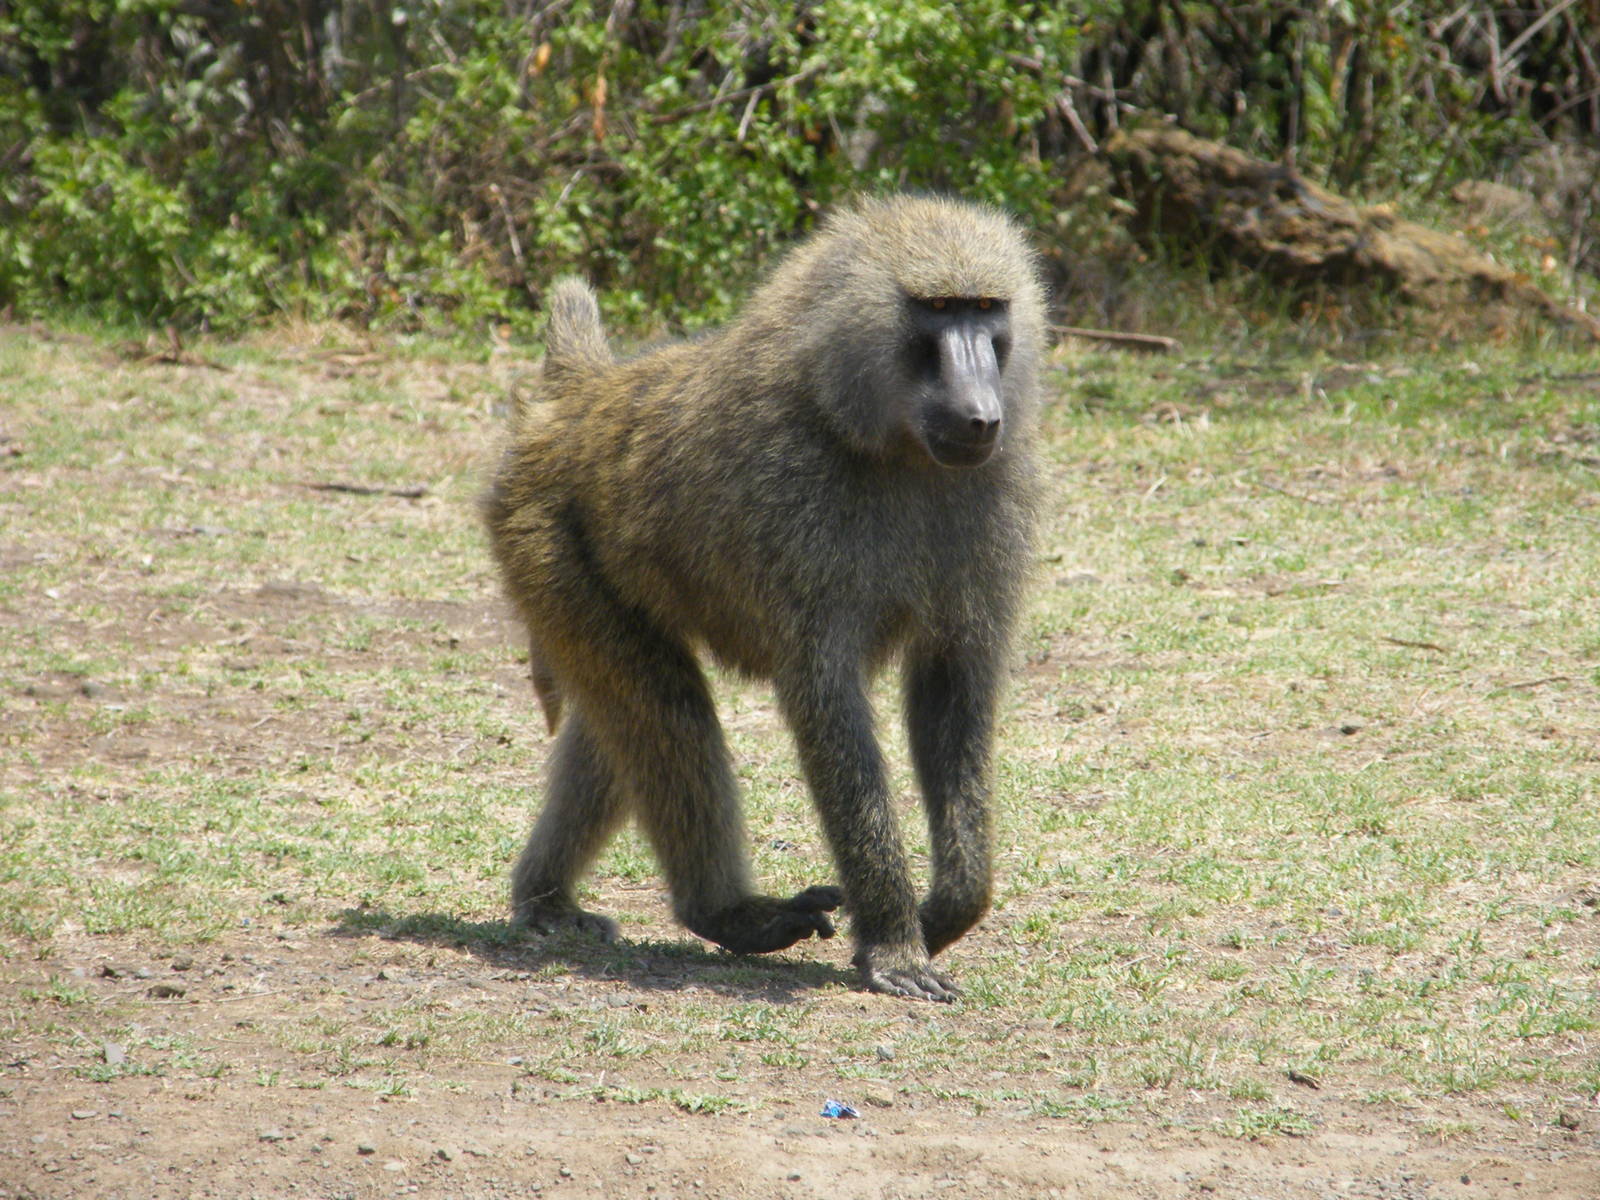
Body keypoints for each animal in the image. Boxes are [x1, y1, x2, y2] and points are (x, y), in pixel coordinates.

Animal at [480, 195, 1044, 1001]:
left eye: (985, 309)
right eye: (936, 310)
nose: (980, 416)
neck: (888, 442)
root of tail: (579, 396)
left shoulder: (994, 496)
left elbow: (952, 687)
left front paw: (944, 910)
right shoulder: (795, 506)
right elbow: (826, 702)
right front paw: (896, 942)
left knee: (616, 720)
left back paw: (547, 900)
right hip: (543, 543)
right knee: (664, 709)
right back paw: (726, 913)